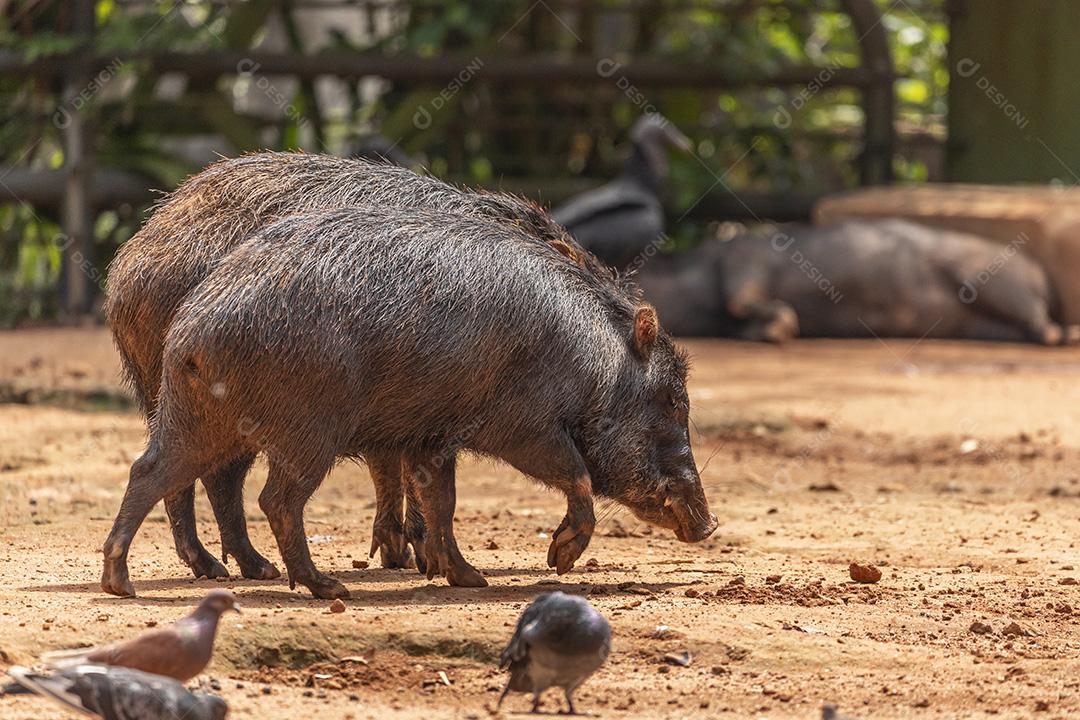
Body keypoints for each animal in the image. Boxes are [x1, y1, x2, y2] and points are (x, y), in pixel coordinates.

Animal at [100, 207, 718, 599]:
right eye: (671, 400)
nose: (710, 525)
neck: (592, 358)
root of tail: (197, 327)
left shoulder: (431, 437)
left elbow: (441, 500)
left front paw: (468, 579)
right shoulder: (522, 424)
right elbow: (577, 475)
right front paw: (555, 562)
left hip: (191, 414)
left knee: (149, 471)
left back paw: (121, 583)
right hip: (306, 431)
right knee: (274, 498)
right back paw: (324, 586)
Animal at [636, 220, 1078, 344]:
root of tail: (1040, 275)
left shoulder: (743, 259)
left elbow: (741, 298)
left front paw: (783, 327)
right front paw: (774, 330)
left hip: (994, 279)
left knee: (1042, 324)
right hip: (983, 321)